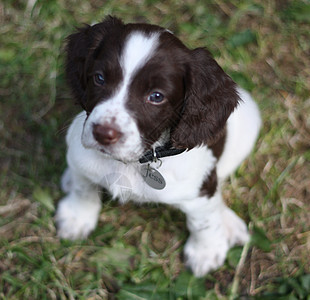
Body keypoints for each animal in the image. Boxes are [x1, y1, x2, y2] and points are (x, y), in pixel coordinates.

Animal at [56, 17, 262, 276]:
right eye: (99, 78)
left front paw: (206, 251)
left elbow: (203, 221)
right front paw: (77, 218)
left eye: (156, 96)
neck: (132, 162)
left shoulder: (199, 188)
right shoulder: (80, 157)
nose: (103, 133)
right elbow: (83, 189)